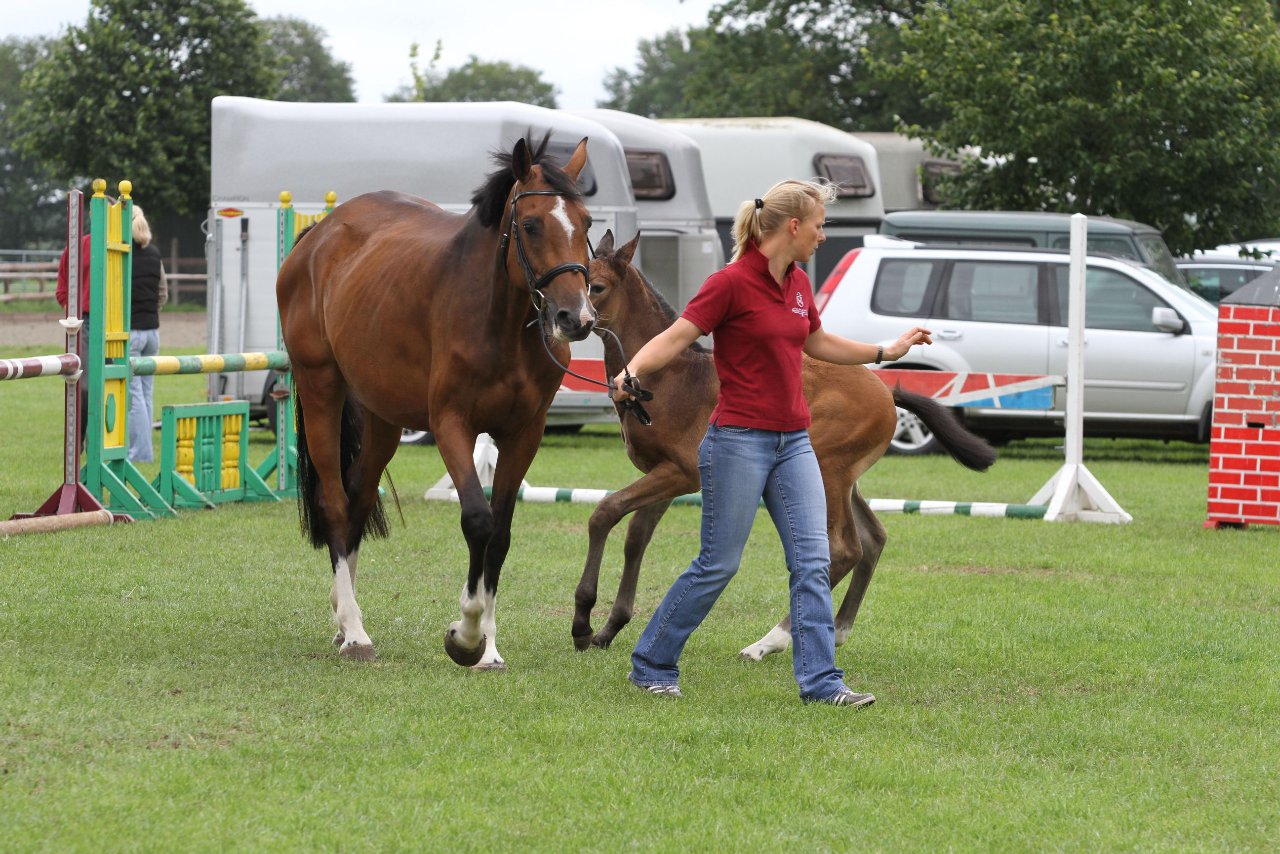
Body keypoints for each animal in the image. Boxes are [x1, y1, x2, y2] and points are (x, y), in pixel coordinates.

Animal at [277, 131, 596, 665]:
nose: (577, 318)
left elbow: (501, 533)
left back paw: (345, 618)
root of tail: (319, 235)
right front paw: (465, 635)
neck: (498, 320)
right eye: (531, 225)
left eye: (587, 223)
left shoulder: (524, 433)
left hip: (382, 418)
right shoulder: (451, 424)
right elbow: (478, 520)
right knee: (336, 503)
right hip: (322, 387)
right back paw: (355, 632)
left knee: (359, 498)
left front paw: (488, 648)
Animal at [573, 234, 998, 660]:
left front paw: (583, 621)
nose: (567, 321)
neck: (667, 377)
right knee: (874, 538)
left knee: (846, 548)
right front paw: (609, 628)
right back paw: (838, 629)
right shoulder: (662, 474)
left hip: (828, 471)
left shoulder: (680, 473)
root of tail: (885, 390)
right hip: (844, 479)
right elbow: (636, 536)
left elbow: (605, 512)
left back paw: (771, 640)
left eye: (598, 287)